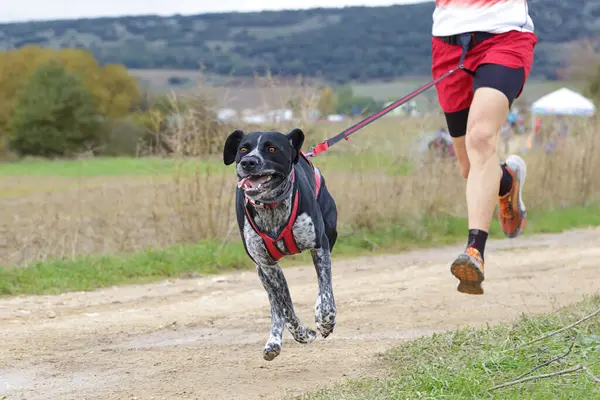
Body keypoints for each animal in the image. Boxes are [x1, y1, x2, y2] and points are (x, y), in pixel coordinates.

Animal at [224, 129, 338, 362]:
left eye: (271, 148)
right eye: (243, 149)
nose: (248, 162)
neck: (271, 206)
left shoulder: (319, 246)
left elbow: (326, 293)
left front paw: (324, 321)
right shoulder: (268, 266)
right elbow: (285, 309)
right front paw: (303, 334)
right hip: (262, 272)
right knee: (275, 305)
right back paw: (273, 342)